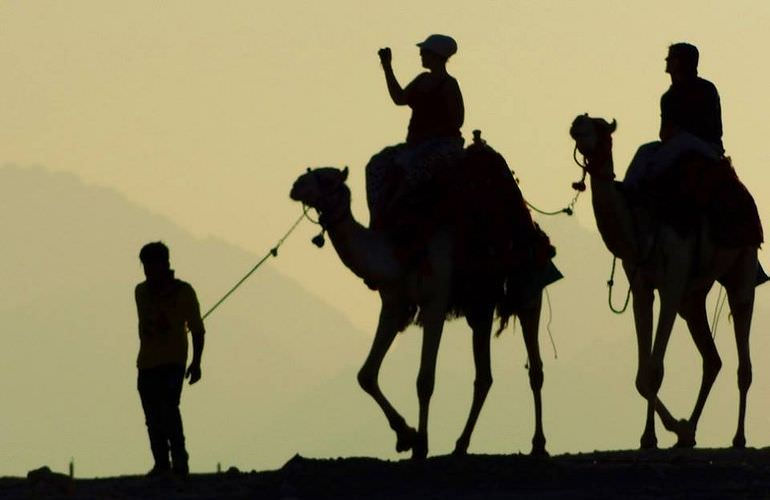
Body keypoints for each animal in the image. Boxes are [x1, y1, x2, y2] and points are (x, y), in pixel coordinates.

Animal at [288, 163, 552, 458]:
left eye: (327, 179)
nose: (296, 186)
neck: (400, 252)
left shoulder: (434, 303)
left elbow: (424, 380)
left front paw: (421, 444)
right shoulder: (393, 305)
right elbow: (366, 375)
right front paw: (406, 436)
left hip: (529, 291)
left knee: (535, 367)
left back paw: (538, 445)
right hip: (481, 306)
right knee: (484, 376)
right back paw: (460, 445)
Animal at [568, 114, 760, 450]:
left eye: (602, 127)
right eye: (584, 120)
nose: (577, 122)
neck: (642, 222)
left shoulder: (673, 279)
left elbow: (655, 369)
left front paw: (658, 434)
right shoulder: (642, 285)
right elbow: (642, 375)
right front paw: (667, 432)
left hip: (743, 266)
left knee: (743, 359)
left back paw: (738, 437)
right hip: (693, 299)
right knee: (712, 360)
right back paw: (691, 432)